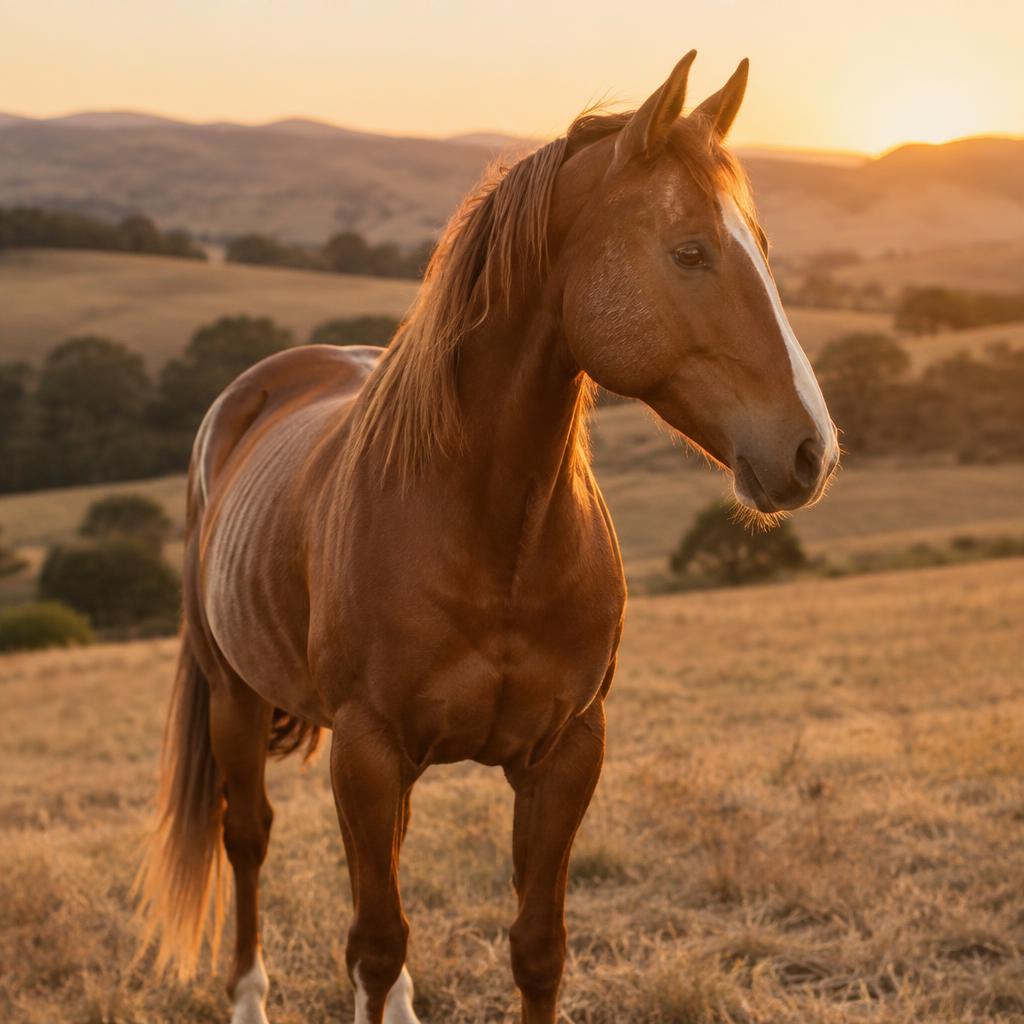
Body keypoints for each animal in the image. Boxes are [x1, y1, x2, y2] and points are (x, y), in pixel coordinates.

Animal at [136, 50, 839, 1024]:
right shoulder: (367, 750)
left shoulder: (566, 754)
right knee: (250, 841)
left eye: (762, 249)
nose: (813, 450)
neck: (491, 531)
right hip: (234, 699)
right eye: (690, 251)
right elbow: (376, 941)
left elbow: (533, 949)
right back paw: (247, 996)